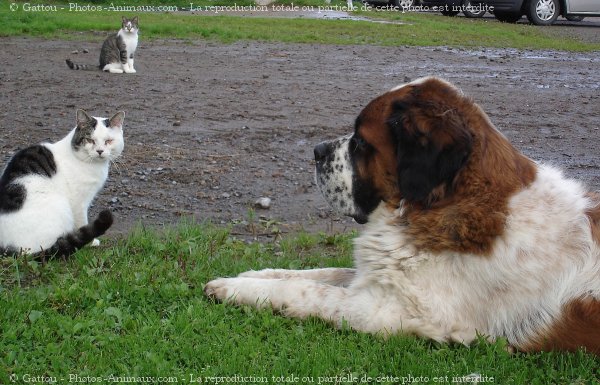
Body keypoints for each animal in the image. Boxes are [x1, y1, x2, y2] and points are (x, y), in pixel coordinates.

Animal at [0, 109, 124, 256]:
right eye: (89, 140)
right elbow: (82, 222)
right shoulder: (79, 203)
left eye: (108, 141)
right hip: (61, 205)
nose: (100, 151)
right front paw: (91, 242)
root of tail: (12, 251)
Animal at [205, 76, 600, 354]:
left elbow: (309, 290)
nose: (316, 151)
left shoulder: (395, 310)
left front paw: (235, 288)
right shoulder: (383, 274)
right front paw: (253, 275)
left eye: (361, 143)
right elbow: (321, 272)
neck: (441, 204)